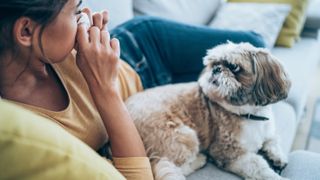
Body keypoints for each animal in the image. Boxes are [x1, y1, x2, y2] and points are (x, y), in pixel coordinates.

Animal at [126, 41, 292, 180]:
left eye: (234, 67)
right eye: (214, 64)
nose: (216, 69)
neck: (249, 114)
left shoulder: (268, 132)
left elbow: (273, 140)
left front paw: (278, 157)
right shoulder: (227, 152)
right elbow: (258, 166)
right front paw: (274, 175)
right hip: (182, 136)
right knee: (171, 166)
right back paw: (199, 160)